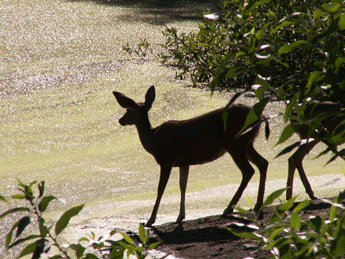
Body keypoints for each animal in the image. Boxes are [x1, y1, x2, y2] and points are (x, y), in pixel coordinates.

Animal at [113, 86, 268, 228]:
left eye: (128, 110)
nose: (120, 120)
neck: (153, 139)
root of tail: (261, 116)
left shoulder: (166, 159)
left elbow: (161, 188)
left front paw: (150, 220)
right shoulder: (183, 162)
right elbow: (183, 186)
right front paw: (180, 216)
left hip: (234, 143)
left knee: (248, 170)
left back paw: (228, 209)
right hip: (247, 144)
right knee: (263, 163)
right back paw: (257, 206)